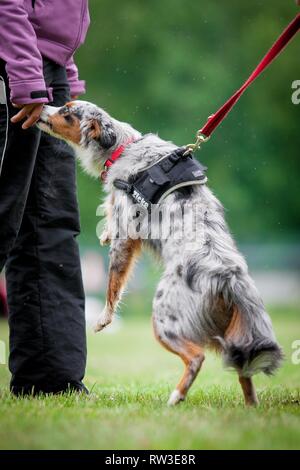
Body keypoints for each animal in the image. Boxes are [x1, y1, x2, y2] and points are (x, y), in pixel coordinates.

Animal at [38, 101, 284, 406]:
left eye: (67, 112)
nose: (41, 107)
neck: (122, 147)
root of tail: (229, 276)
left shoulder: (126, 236)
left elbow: (113, 283)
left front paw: (104, 319)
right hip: (231, 333)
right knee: (243, 369)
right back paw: (249, 407)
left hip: (164, 320)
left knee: (196, 357)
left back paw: (176, 397)